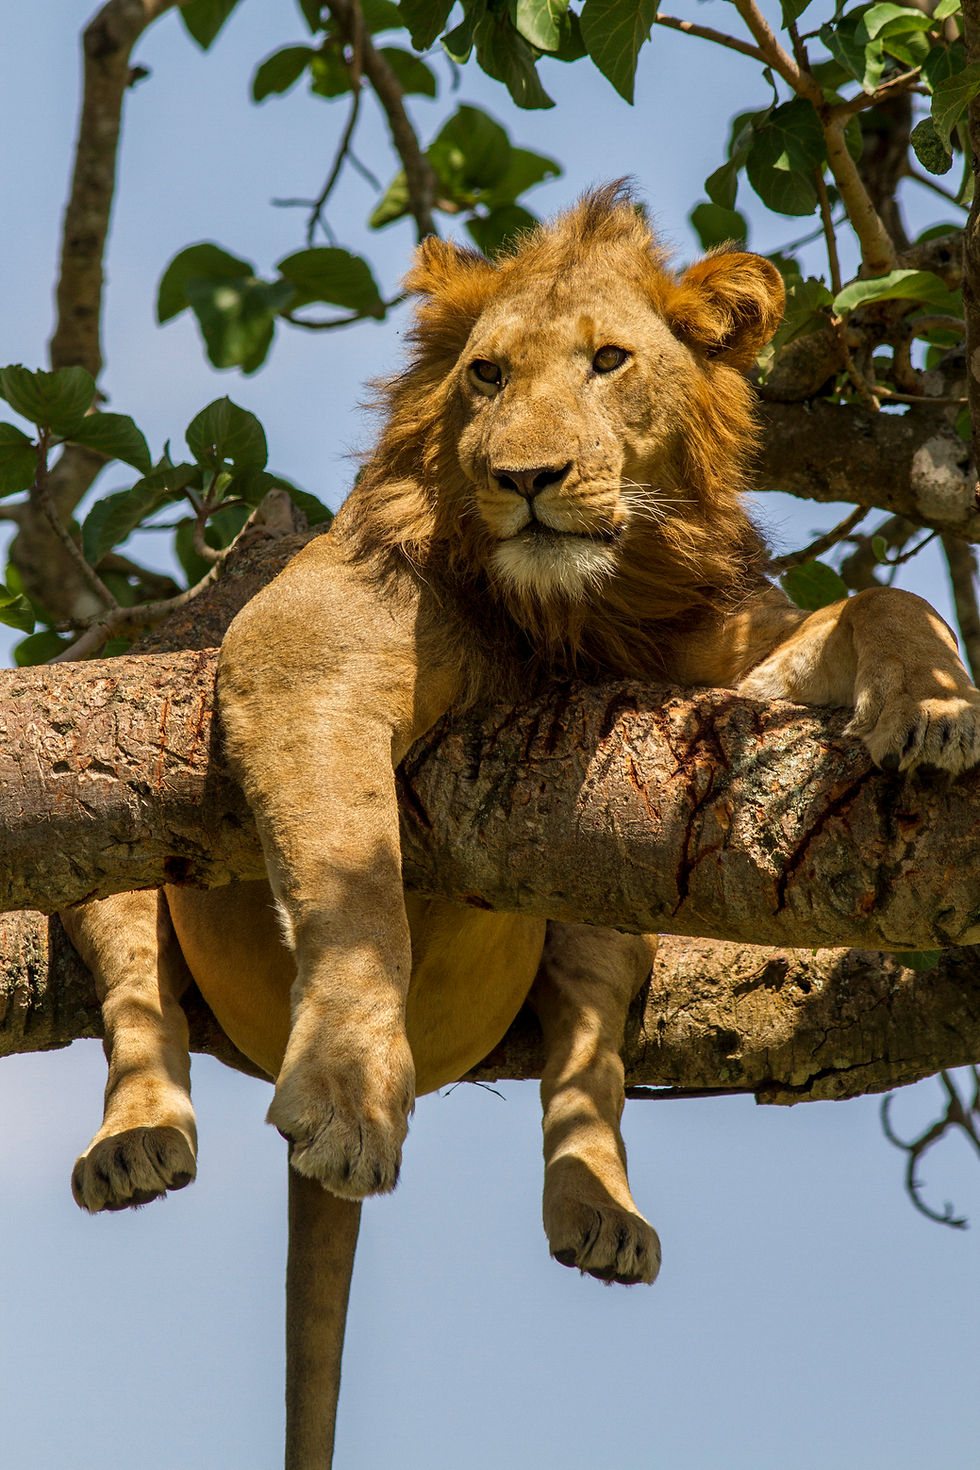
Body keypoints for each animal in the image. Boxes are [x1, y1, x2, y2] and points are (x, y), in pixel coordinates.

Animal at [62, 184, 980, 1469]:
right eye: (485, 375)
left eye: (607, 362)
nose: (527, 477)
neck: (578, 608)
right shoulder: (304, 644)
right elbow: (357, 890)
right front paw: (347, 1093)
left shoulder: (720, 662)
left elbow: (882, 600)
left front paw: (937, 706)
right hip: (107, 799)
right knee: (138, 999)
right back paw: (136, 1146)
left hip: (608, 894)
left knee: (587, 1061)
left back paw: (599, 1214)